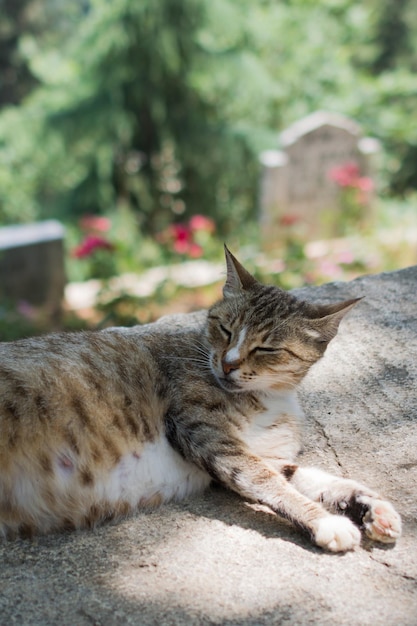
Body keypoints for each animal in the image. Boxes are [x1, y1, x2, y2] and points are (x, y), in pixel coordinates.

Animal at [0, 246, 404, 548]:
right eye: (224, 328)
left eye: (267, 348)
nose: (228, 363)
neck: (270, 396)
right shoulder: (208, 434)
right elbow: (269, 482)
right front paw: (326, 522)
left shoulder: (266, 454)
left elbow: (312, 478)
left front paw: (371, 506)